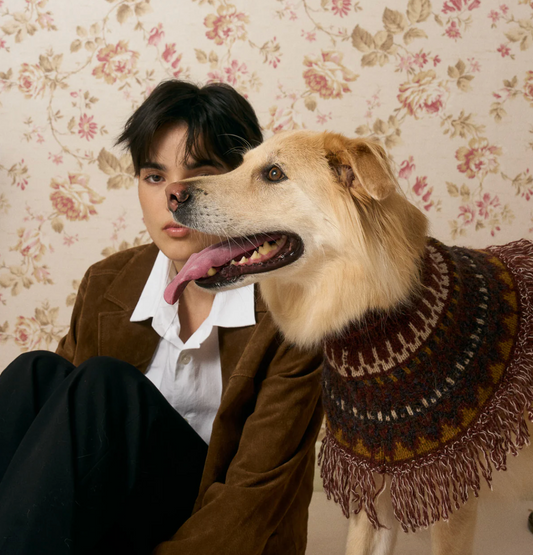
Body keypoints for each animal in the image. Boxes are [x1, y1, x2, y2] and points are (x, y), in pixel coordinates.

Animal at [163, 130, 533, 555]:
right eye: (241, 164)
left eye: (273, 174)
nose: (172, 195)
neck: (376, 319)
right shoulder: (373, 485)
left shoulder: (449, 497)